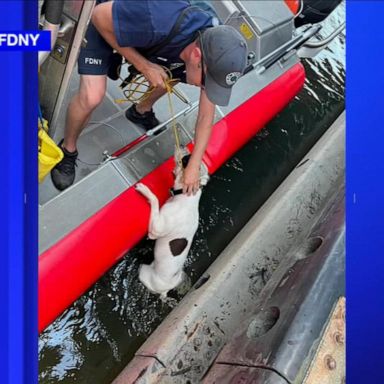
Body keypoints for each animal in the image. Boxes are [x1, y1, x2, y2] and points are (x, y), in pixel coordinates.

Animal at [134, 146, 208, 298]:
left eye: (186, 159)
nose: (183, 146)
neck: (186, 195)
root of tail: (165, 290)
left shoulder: (156, 228)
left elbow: (155, 200)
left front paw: (146, 191)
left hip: (143, 271)